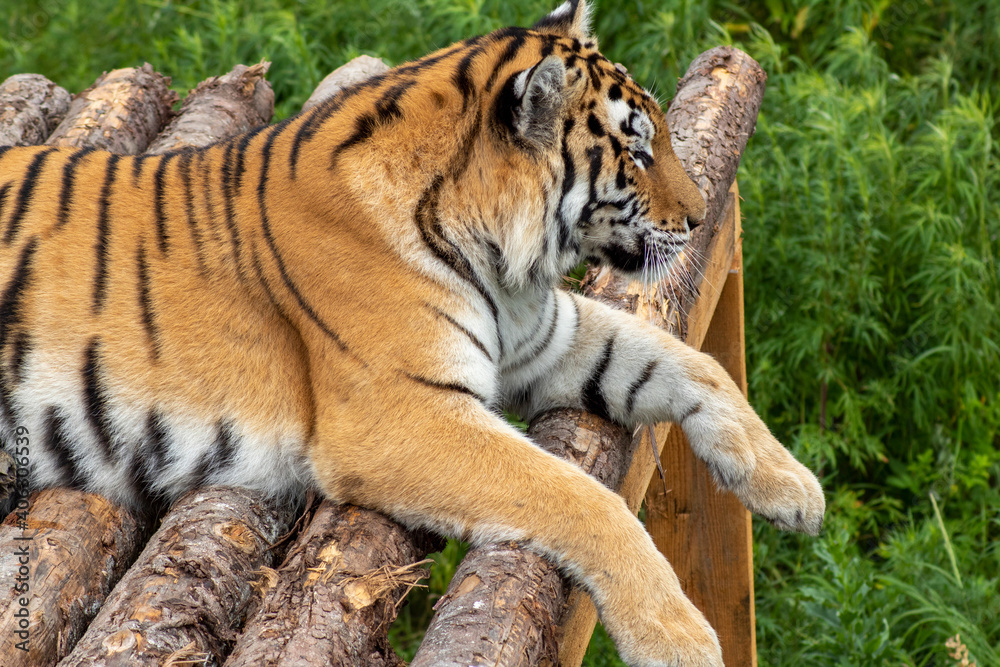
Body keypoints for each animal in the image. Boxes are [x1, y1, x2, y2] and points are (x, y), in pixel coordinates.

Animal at [0, 1, 824, 665]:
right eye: (638, 152)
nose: (700, 218)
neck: (498, 256)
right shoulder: (401, 414)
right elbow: (582, 497)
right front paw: (678, 637)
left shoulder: (542, 337)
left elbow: (691, 366)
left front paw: (792, 486)